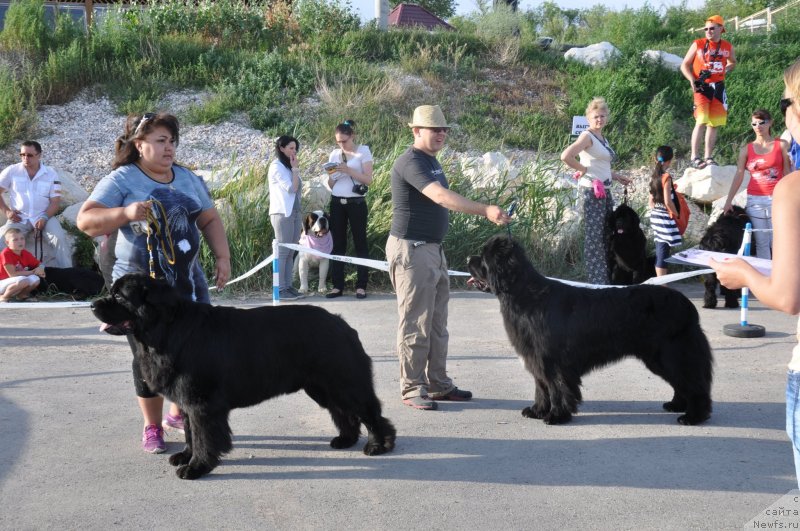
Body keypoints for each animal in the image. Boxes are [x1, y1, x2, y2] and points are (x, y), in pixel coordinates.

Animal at [90, 276, 396, 480]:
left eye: (120, 297)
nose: (93, 304)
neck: (165, 331)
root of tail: (342, 323)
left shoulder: (201, 403)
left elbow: (203, 436)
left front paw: (197, 466)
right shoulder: (187, 401)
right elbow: (190, 432)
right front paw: (186, 455)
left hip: (343, 381)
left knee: (369, 411)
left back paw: (379, 445)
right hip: (322, 387)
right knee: (344, 413)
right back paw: (345, 439)